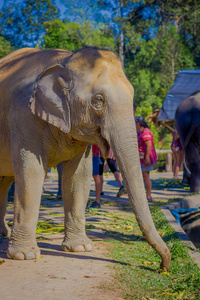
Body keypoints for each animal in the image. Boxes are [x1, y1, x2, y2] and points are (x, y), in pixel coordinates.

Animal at [0, 46, 170, 270]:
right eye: (98, 99)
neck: (63, 60)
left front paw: (80, 248)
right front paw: (24, 255)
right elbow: (31, 172)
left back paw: (3, 234)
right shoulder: (23, 116)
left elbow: (78, 176)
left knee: (4, 182)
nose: (162, 266)